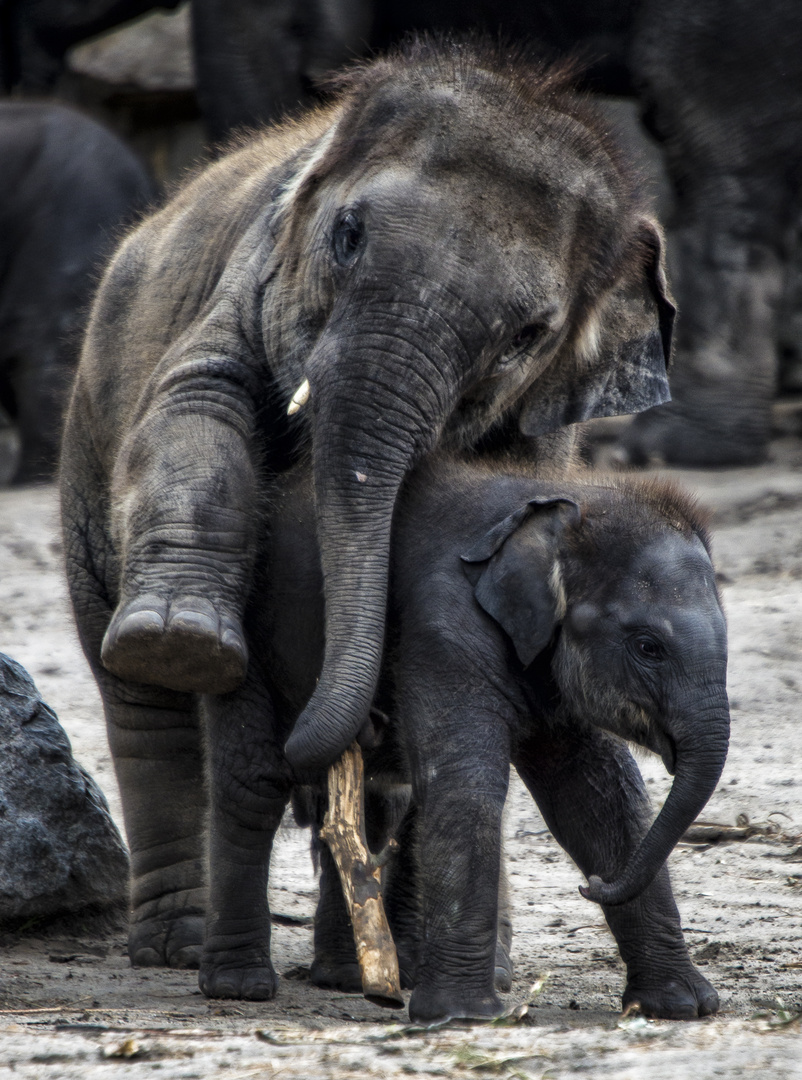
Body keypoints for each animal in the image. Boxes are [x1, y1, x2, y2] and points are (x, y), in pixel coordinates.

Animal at [262, 453, 729, 1019]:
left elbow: (596, 793)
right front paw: (463, 1016)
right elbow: (466, 784)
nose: (590, 885)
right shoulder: (442, 626)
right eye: (648, 647)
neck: (567, 510)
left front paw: (682, 1006)